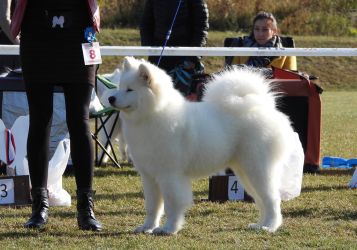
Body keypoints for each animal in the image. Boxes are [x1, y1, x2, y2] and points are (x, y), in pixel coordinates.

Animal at [108, 56, 294, 234]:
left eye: (130, 89)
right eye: (120, 87)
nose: (111, 98)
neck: (152, 115)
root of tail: (264, 108)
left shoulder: (170, 176)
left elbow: (172, 205)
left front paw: (169, 229)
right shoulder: (149, 177)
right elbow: (153, 206)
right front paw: (147, 227)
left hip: (258, 169)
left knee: (272, 199)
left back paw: (270, 226)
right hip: (245, 173)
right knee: (261, 200)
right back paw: (259, 225)